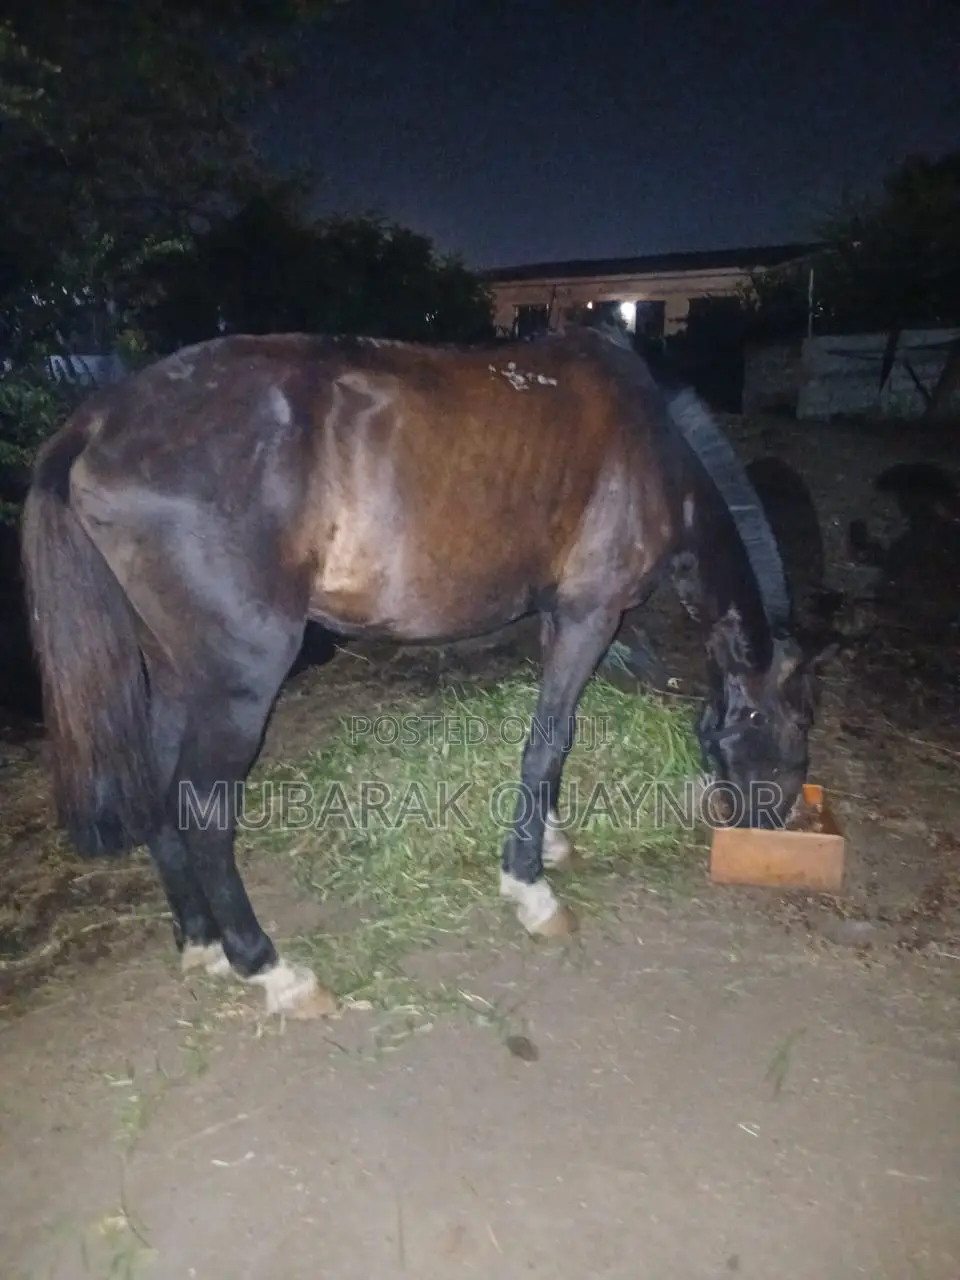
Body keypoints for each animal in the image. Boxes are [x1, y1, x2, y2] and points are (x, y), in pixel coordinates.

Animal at [21, 322, 824, 1020]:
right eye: (797, 728)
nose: (773, 824)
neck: (657, 448)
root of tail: (96, 423)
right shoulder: (591, 614)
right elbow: (550, 742)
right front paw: (530, 888)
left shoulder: (557, 616)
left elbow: (552, 737)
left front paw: (550, 841)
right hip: (238, 682)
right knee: (205, 811)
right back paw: (269, 968)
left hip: (174, 671)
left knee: (159, 790)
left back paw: (201, 940)